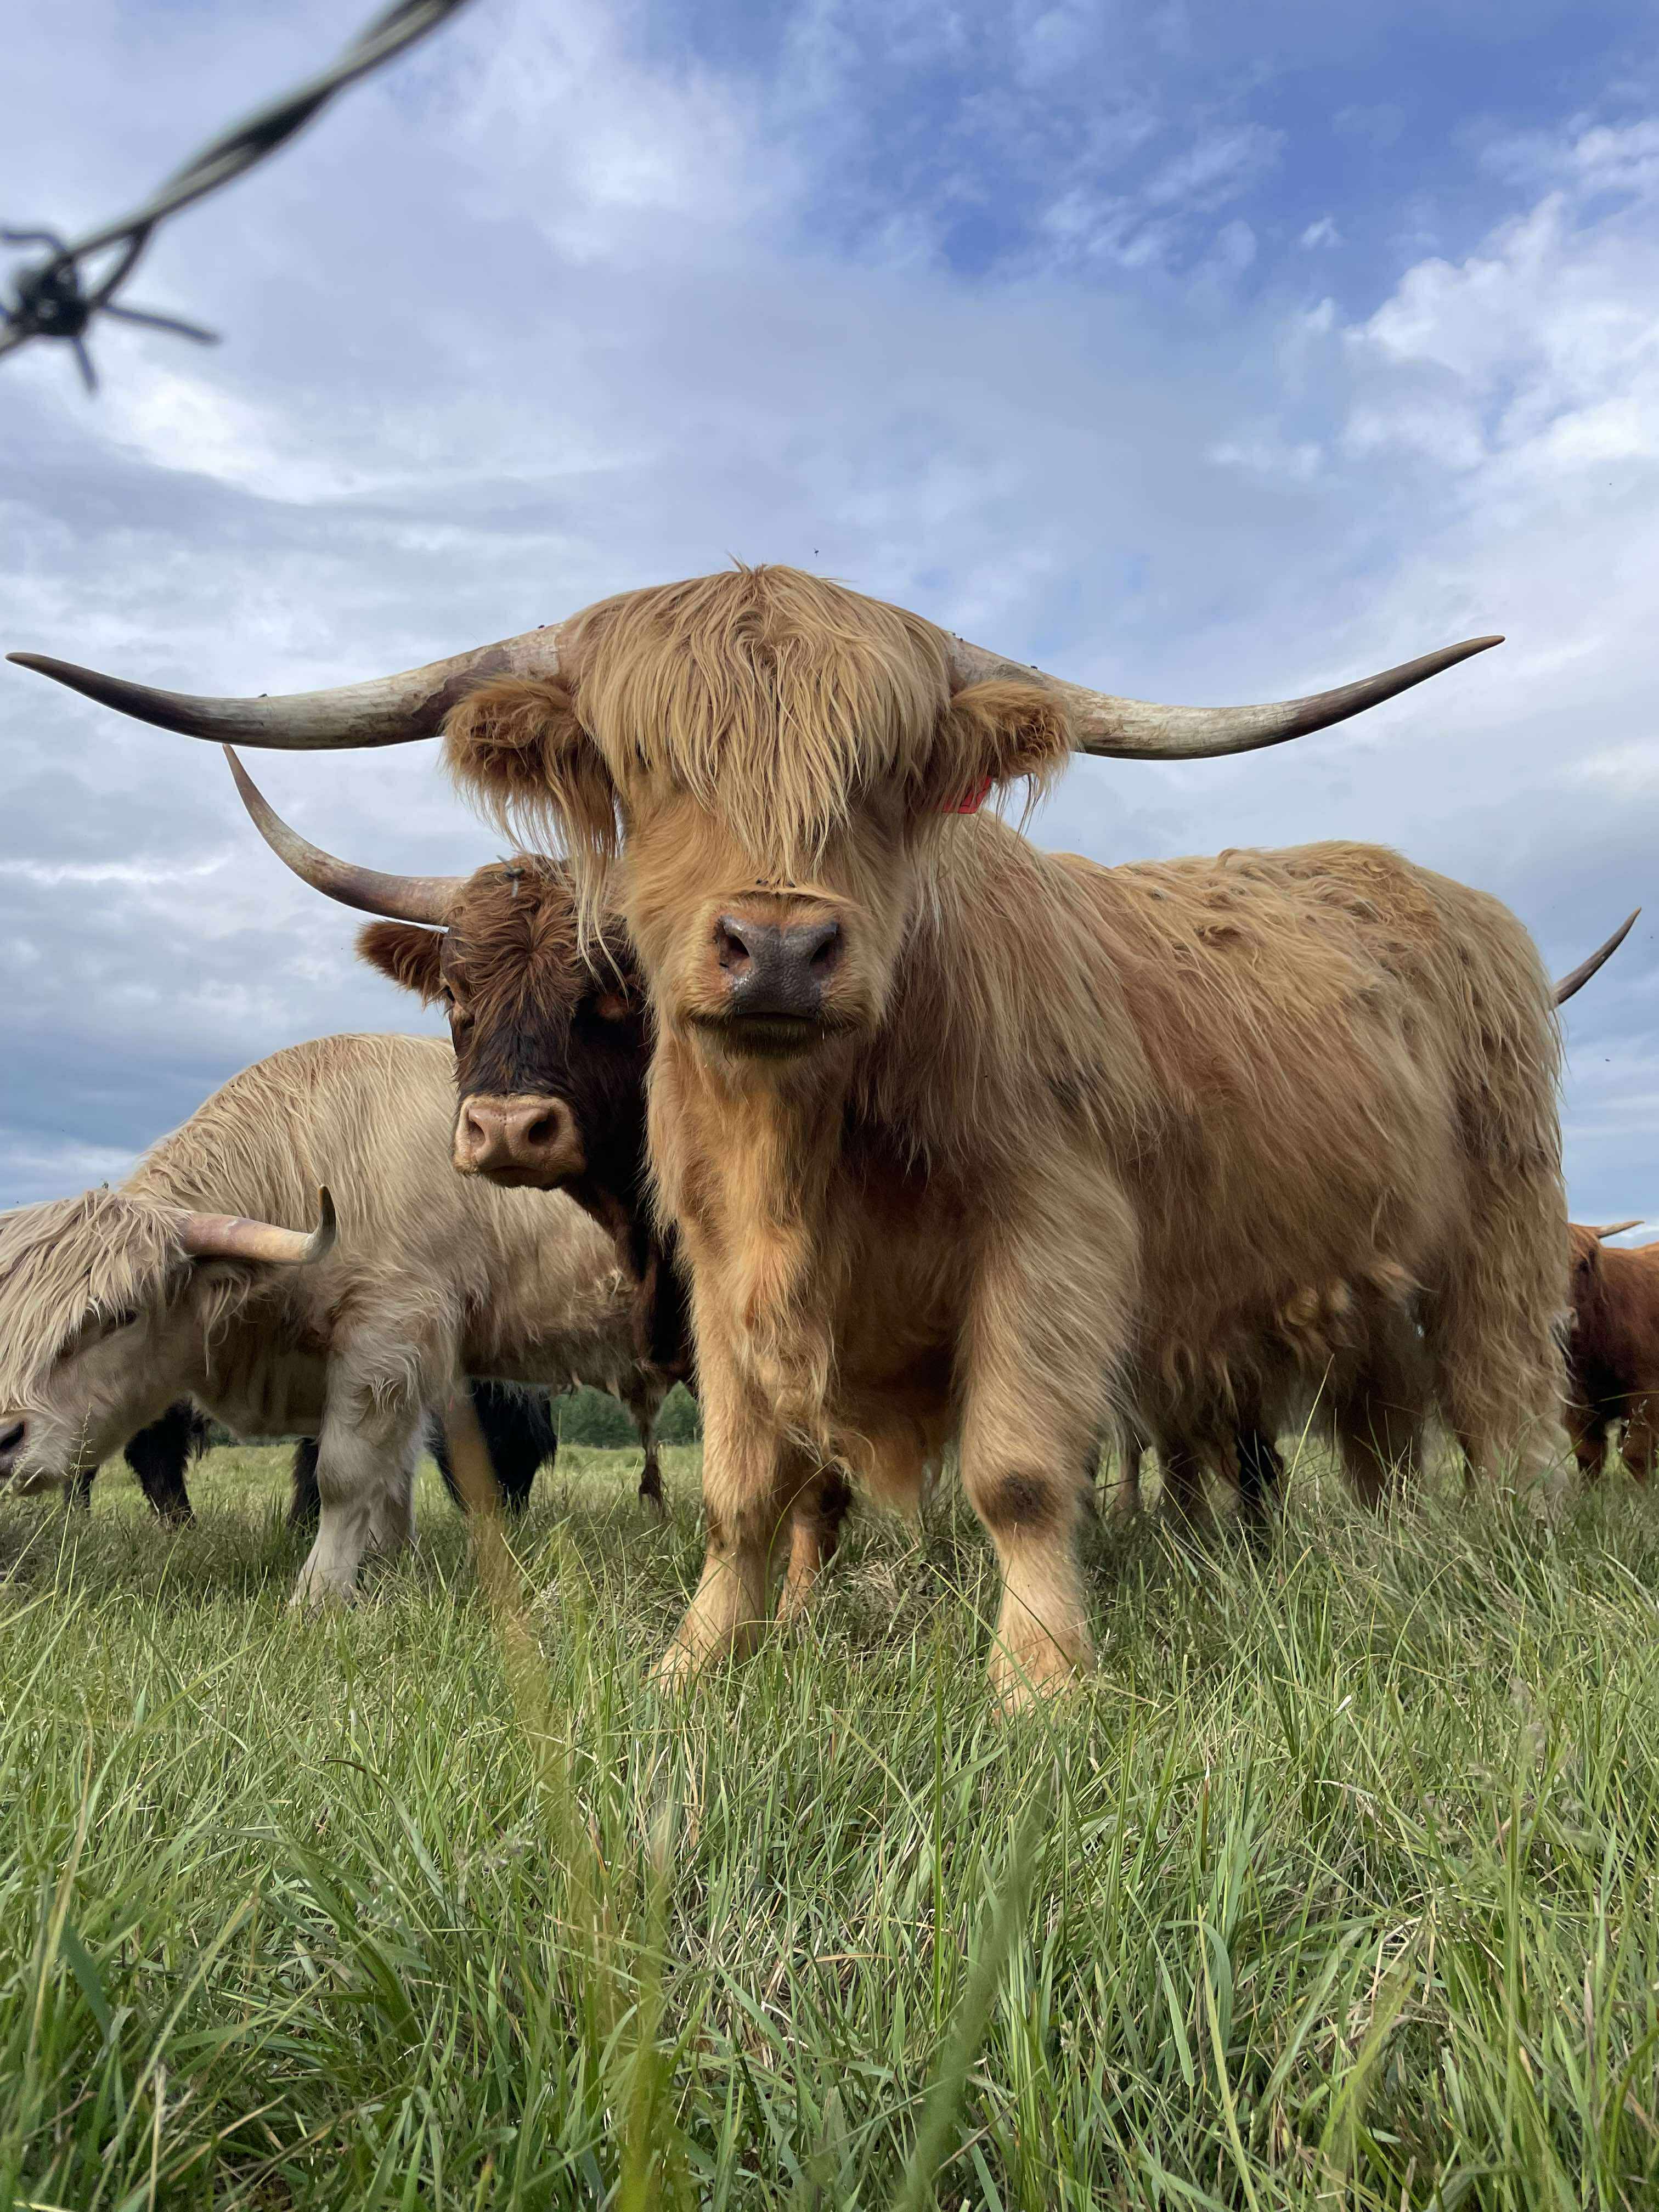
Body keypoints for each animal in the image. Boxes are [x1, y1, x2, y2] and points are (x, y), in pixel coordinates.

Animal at [0, 1034, 671, 1605]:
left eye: (122, 1313)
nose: (6, 1437)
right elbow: (393, 1478)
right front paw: (392, 1569)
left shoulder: (391, 1335)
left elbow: (344, 1475)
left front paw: (318, 1596)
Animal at [1564, 1221, 1659, 1481]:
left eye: (1582, 1265)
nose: (1563, 1317)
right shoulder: (1576, 1405)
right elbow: (1588, 1456)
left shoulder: (1646, 1394)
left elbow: (1636, 1454)